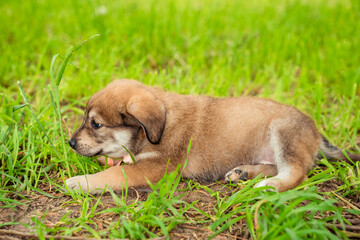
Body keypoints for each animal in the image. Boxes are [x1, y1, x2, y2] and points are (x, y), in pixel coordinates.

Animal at [66, 80, 358, 193]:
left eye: (96, 124)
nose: (70, 143)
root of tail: (317, 133)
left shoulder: (155, 167)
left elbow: (115, 174)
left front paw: (79, 182)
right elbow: (116, 163)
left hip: (283, 131)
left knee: (296, 173)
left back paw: (269, 186)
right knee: (276, 166)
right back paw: (243, 173)